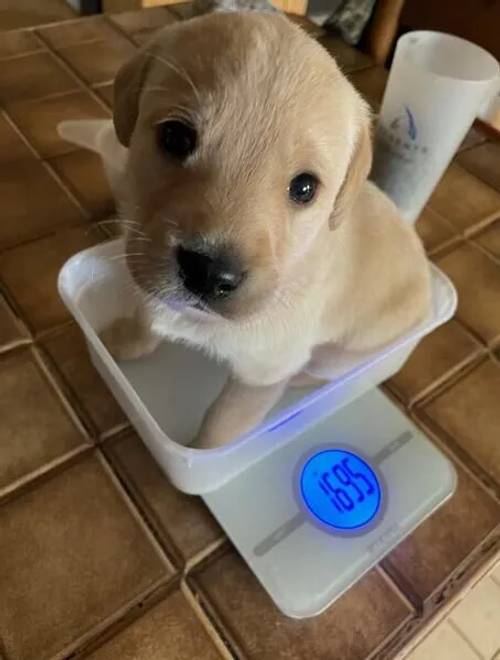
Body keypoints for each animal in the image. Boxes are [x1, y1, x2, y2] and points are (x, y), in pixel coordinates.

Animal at [101, 11, 430, 448]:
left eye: (304, 188)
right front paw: (121, 341)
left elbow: (222, 426)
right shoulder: (146, 266)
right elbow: (144, 317)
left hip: (347, 352)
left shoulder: (263, 372)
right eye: (175, 137)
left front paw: (201, 457)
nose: (209, 273)